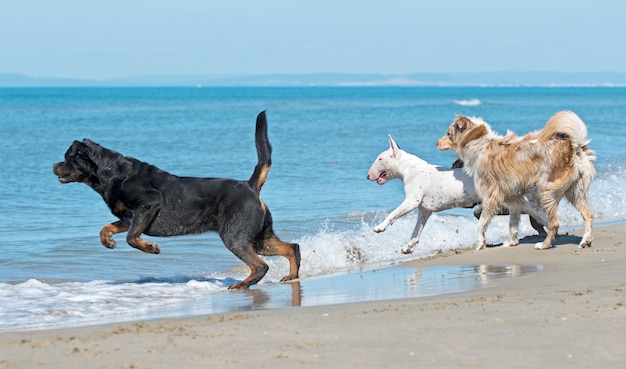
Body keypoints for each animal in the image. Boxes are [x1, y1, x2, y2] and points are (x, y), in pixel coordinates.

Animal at [52, 110, 298, 288]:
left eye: (67, 157)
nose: (53, 165)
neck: (112, 174)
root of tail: (250, 185)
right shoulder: (127, 217)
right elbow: (106, 228)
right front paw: (108, 241)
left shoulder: (148, 204)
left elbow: (132, 238)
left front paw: (151, 247)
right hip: (258, 237)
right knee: (291, 247)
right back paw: (291, 276)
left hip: (235, 236)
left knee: (260, 265)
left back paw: (242, 285)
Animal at [436, 110, 592, 250]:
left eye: (448, 133)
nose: (436, 143)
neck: (479, 144)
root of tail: (573, 148)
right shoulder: (514, 199)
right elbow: (513, 224)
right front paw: (512, 242)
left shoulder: (491, 197)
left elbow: (481, 224)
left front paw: (480, 244)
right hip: (575, 192)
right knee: (588, 215)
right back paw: (585, 241)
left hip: (547, 191)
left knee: (554, 223)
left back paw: (544, 244)